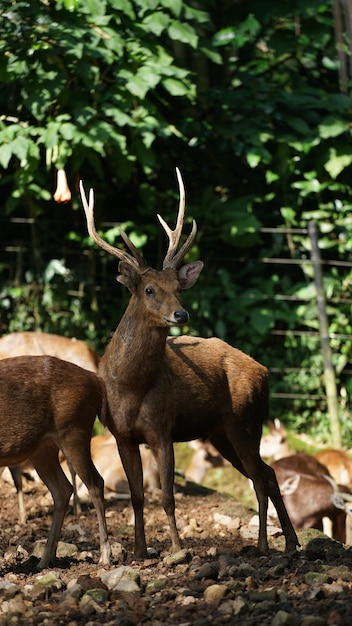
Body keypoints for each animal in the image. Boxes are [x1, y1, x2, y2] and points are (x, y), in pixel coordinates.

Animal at [0, 354, 110, 568]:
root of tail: (96, 380)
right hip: (44, 448)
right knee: (63, 489)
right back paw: (44, 560)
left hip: (74, 429)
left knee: (95, 483)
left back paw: (105, 556)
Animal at [80, 171, 300, 556]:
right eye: (149, 289)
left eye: (178, 288)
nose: (181, 314)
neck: (129, 387)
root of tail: (264, 371)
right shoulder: (122, 435)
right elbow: (138, 497)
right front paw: (140, 551)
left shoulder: (162, 428)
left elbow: (167, 497)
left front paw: (177, 548)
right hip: (221, 433)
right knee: (268, 474)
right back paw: (288, 542)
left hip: (245, 420)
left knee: (261, 478)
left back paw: (267, 544)